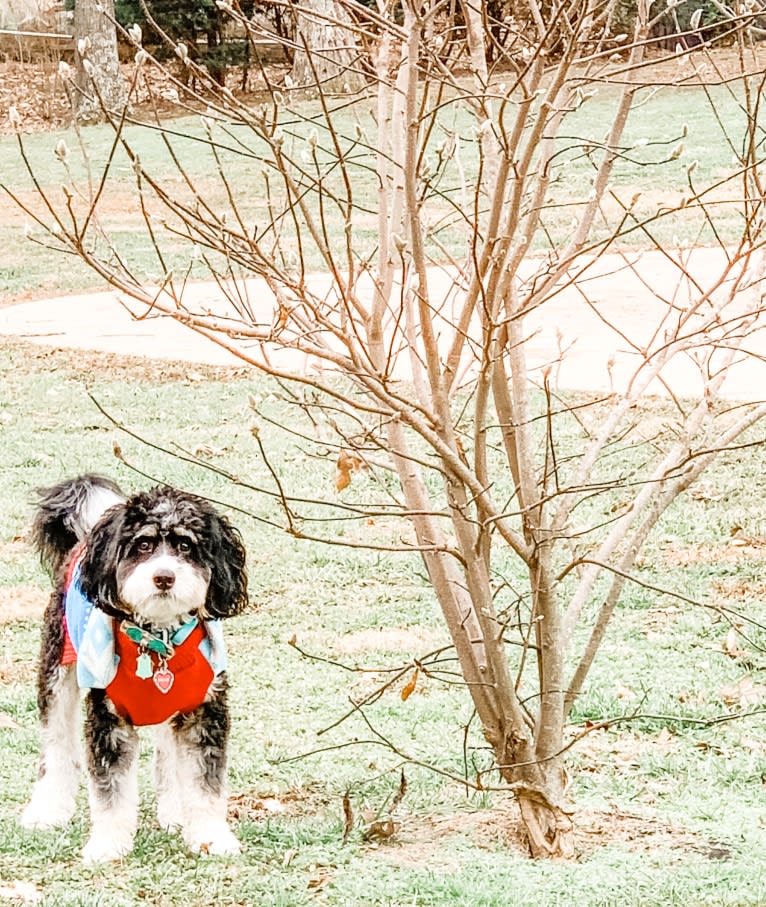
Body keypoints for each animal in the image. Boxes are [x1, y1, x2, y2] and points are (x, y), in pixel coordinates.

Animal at [21, 476, 249, 864]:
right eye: (143, 544)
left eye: (186, 546)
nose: (164, 577)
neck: (158, 641)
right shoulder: (107, 717)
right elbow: (109, 791)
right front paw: (107, 845)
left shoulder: (204, 712)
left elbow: (205, 784)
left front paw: (211, 838)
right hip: (56, 665)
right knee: (56, 744)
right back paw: (47, 811)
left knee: (167, 755)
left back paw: (175, 812)